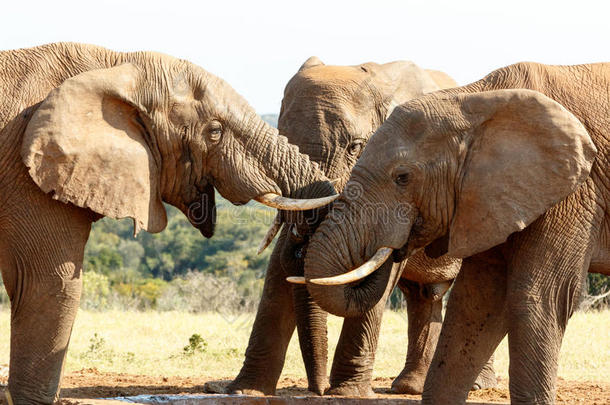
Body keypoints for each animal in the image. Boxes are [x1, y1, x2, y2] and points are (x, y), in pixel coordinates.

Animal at [227, 56, 494, 394]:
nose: (318, 389)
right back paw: (409, 387)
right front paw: (245, 391)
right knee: (423, 296)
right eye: (283, 139)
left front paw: (345, 392)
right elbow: (277, 270)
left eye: (355, 147)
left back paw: (476, 386)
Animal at [300, 60, 608, 404]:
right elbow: (475, 301)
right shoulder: (486, 199)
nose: (395, 246)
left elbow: (539, 298)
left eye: (403, 177)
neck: (473, 101)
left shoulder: (574, 192)